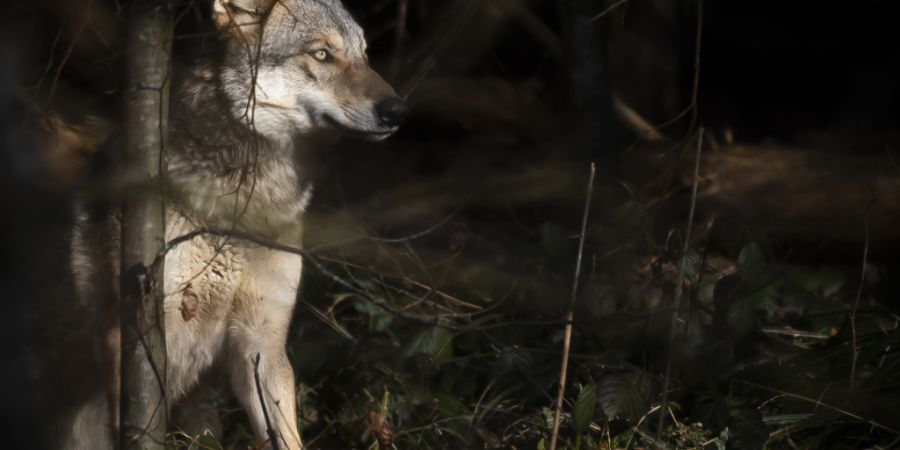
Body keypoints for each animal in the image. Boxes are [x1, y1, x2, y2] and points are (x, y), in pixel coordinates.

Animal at [59, 0, 407, 448]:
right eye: (322, 54)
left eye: (364, 54)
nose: (398, 111)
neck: (243, 206)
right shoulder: (131, 338)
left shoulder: (260, 342)